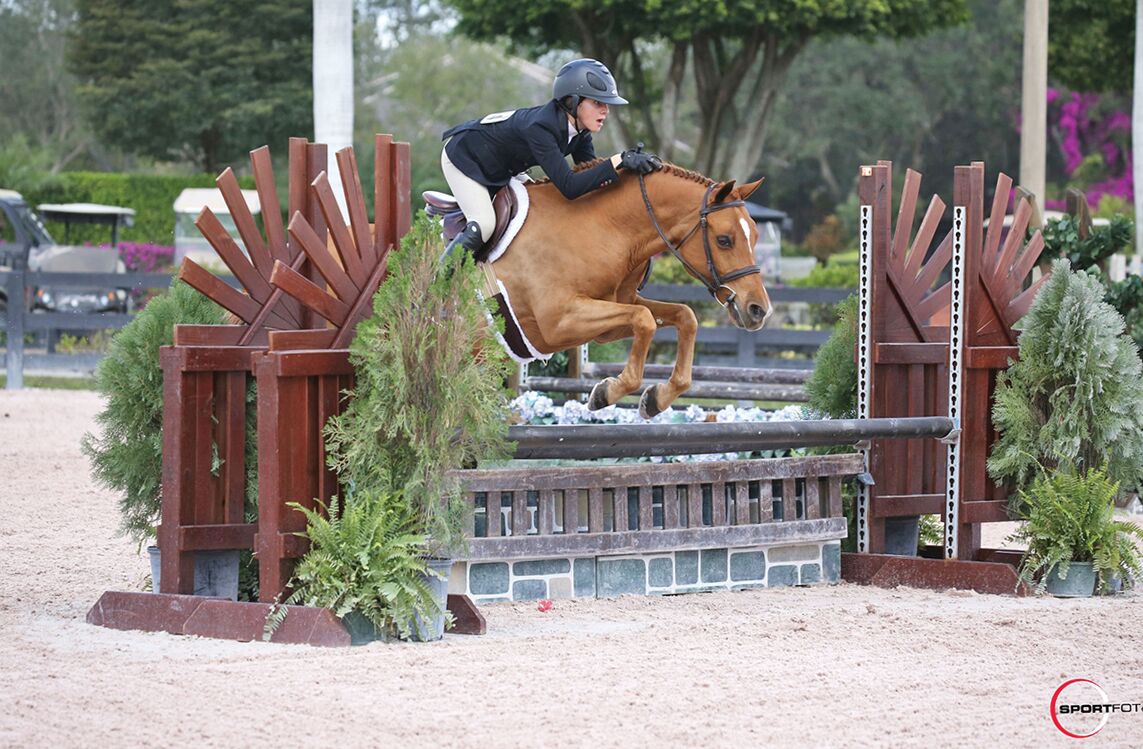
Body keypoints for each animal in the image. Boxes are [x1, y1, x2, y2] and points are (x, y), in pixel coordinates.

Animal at [444, 162, 772, 419]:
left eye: (755, 236)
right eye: (724, 240)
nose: (759, 310)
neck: (604, 229)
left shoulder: (608, 318)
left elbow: (683, 316)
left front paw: (657, 399)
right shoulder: (559, 323)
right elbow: (645, 320)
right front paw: (607, 393)